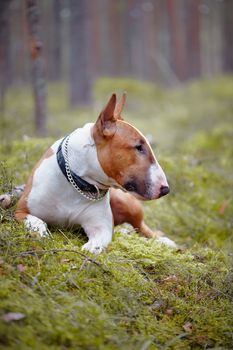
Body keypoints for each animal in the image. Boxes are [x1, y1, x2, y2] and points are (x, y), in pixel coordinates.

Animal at [12, 93, 176, 252]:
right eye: (139, 147)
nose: (165, 189)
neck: (76, 183)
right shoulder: (21, 211)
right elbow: (37, 221)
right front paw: (41, 233)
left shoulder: (101, 227)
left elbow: (98, 243)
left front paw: (90, 247)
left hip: (127, 204)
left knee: (141, 227)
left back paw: (164, 241)